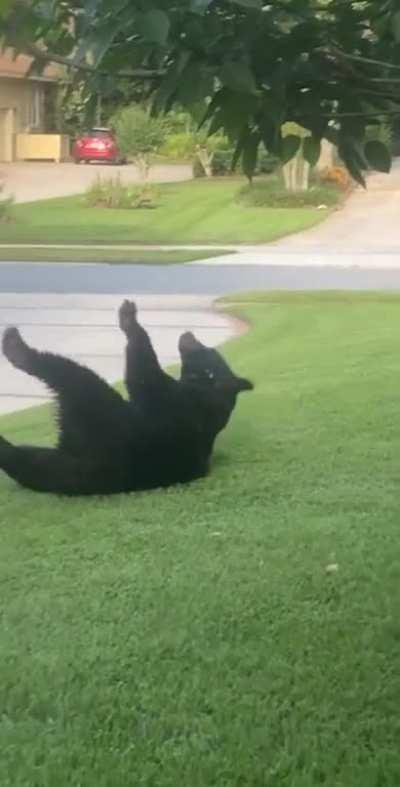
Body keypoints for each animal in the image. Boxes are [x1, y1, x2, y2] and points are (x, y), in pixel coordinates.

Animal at [0, 300, 253, 496]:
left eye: (203, 347)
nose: (188, 333)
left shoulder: (173, 402)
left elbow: (141, 373)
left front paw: (130, 320)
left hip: (98, 414)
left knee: (68, 374)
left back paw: (16, 346)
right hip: (64, 467)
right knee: (29, 461)